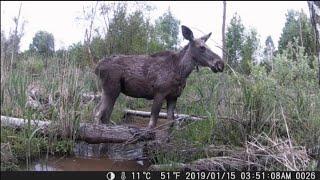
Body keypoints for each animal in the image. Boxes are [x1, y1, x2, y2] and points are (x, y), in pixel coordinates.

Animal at [94, 25, 224, 129]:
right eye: (202, 47)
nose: (220, 64)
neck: (181, 71)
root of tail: (97, 67)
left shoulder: (173, 96)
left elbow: (170, 123)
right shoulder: (159, 93)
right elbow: (152, 123)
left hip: (112, 91)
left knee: (104, 115)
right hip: (111, 89)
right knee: (98, 113)